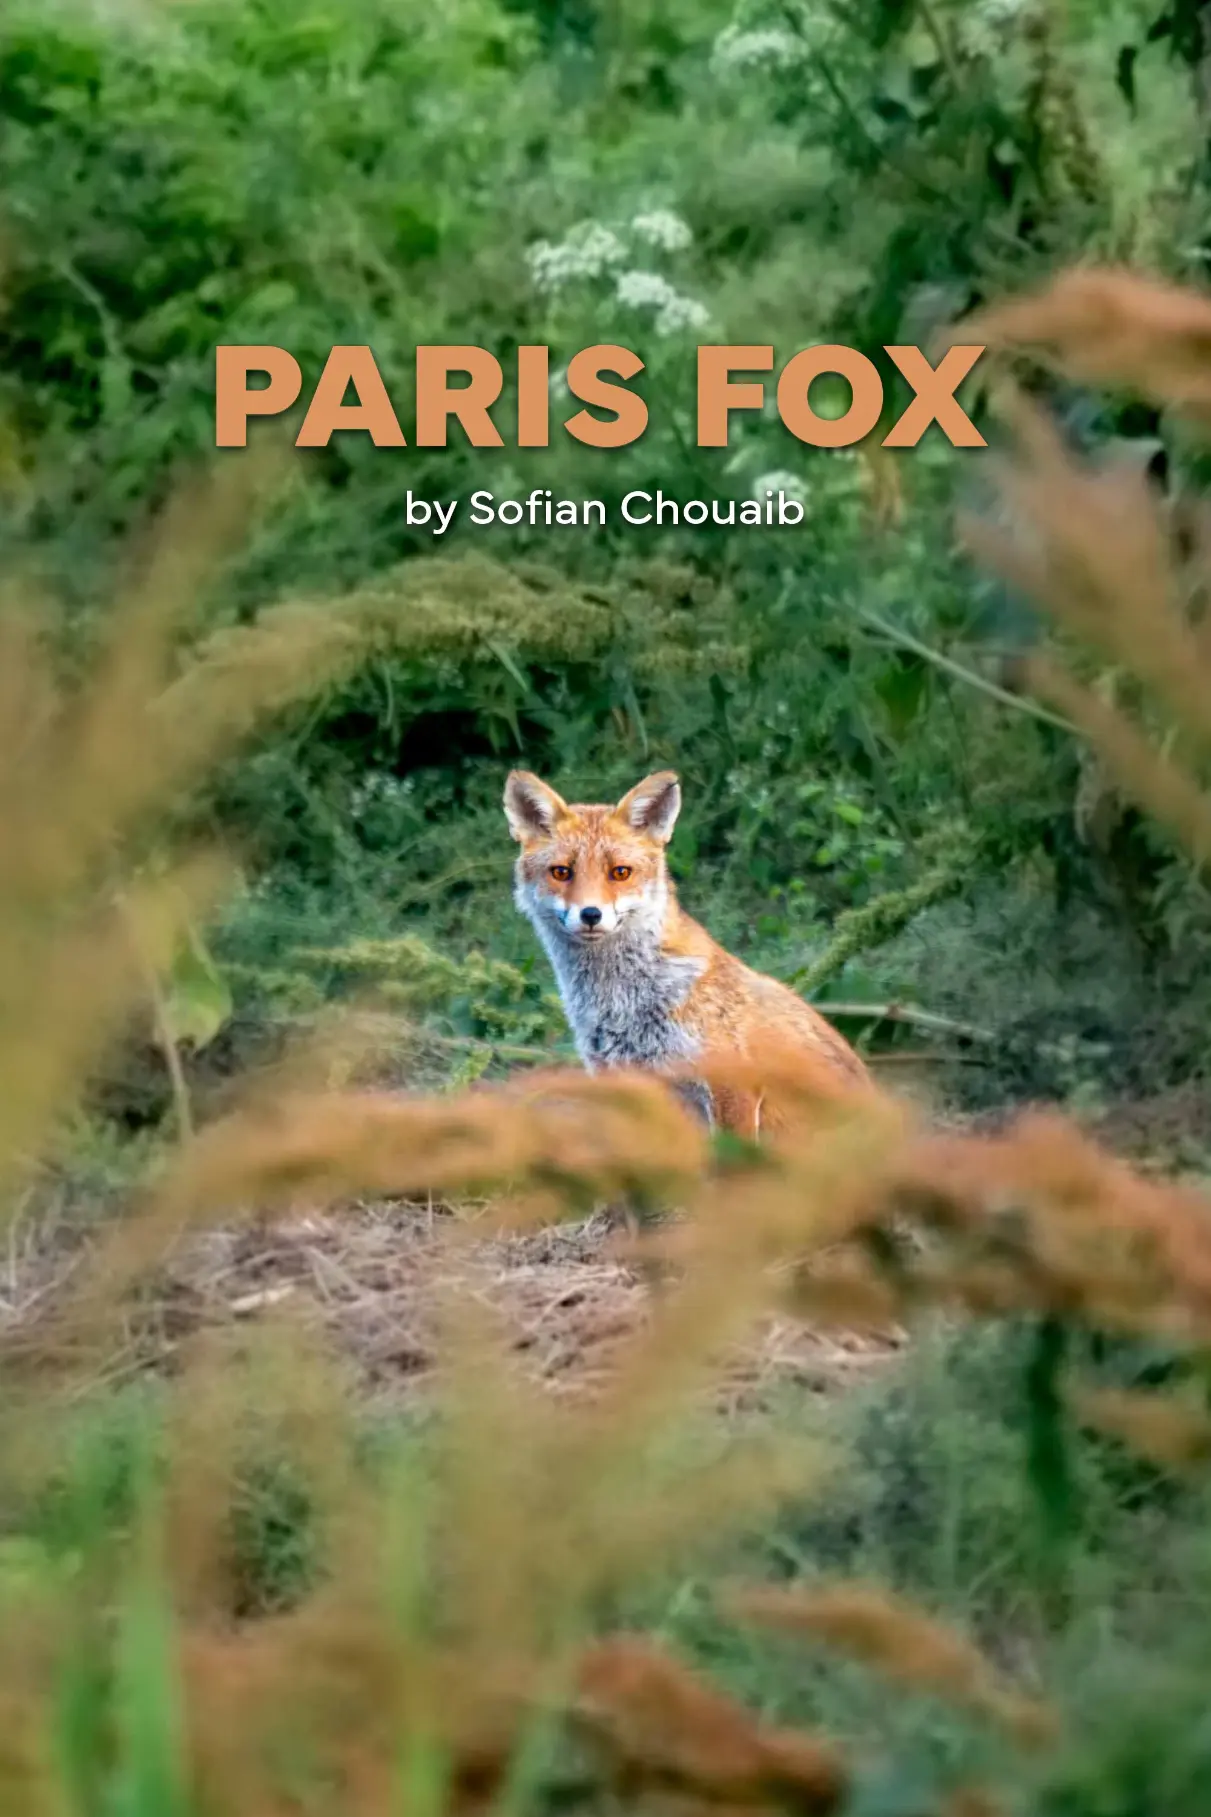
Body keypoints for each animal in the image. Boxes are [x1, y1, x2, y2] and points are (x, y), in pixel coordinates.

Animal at [503, 767, 872, 1140]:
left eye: (620, 872)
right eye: (561, 872)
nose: (591, 914)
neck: (623, 1004)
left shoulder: (733, 1084)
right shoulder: (624, 1082)